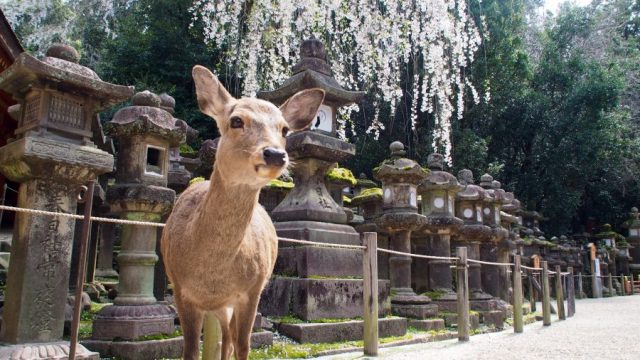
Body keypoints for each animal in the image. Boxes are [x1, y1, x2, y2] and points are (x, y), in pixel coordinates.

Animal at [160, 65, 324, 360]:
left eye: (284, 128)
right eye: (236, 121)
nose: (275, 154)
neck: (212, 274)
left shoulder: (252, 289)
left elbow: (244, 346)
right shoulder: (180, 289)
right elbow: (190, 350)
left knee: (229, 339)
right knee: (224, 338)